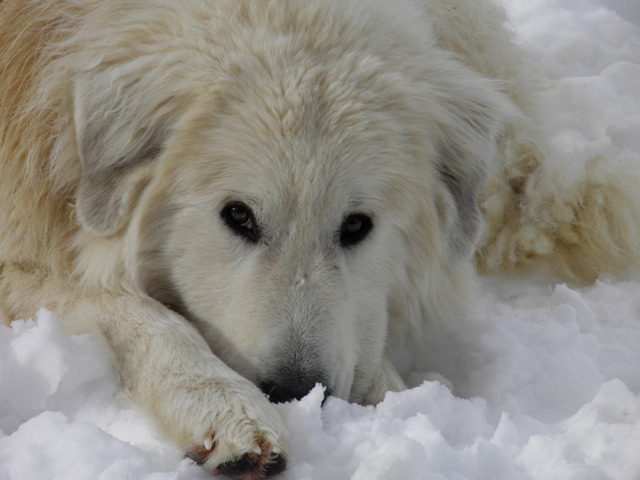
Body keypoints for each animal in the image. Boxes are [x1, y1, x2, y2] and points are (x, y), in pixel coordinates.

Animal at [2, 0, 636, 476]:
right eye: (238, 215)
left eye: (356, 225)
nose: (295, 390)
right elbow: (136, 312)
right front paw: (226, 406)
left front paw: (385, 390)